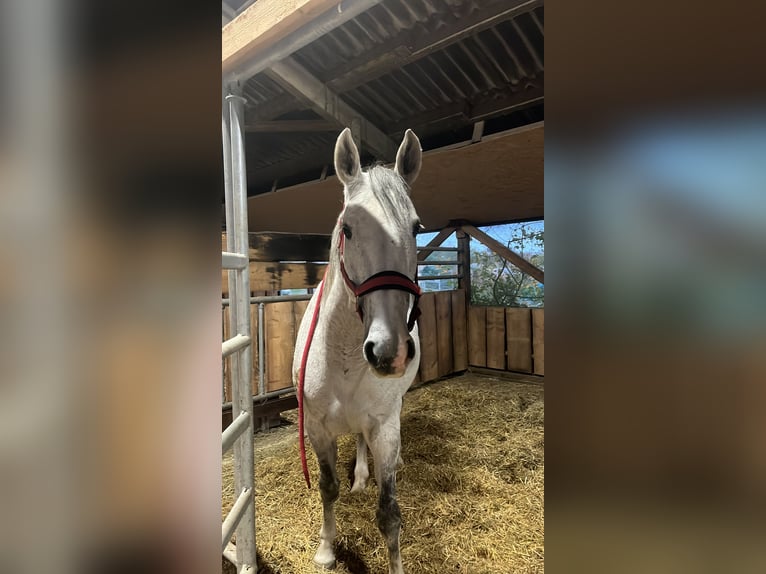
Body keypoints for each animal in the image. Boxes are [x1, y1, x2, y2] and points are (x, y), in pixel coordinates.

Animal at [292, 127, 424, 574]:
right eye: (348, 229)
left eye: (416, 228)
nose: (389, 350)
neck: (345, 355)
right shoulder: (316, 428)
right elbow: (328, 488)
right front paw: (326, 550)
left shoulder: (384, 425)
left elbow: (389, 514)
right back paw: (362, 477)